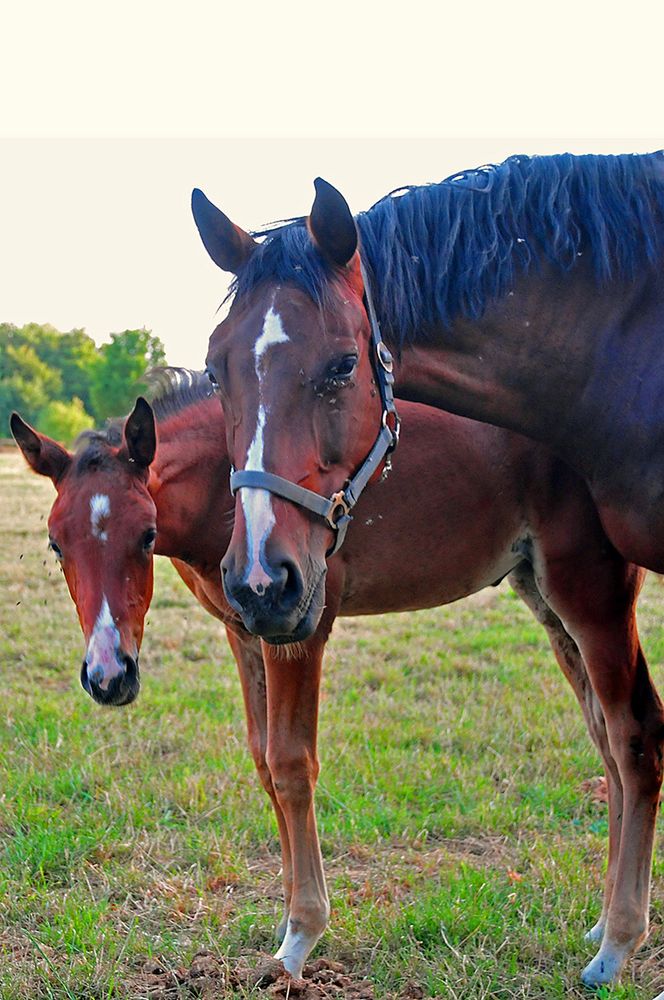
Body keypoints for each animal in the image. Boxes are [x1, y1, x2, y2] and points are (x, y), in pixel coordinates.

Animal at [10, 374, 664, 984]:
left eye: (146, 536)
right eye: (56, 543)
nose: (108, 675)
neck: (230, 485)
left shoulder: (298, 629)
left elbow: (292, 765)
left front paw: (299, 939)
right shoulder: (243, 633)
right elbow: (264, 763)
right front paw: (284, 921)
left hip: (591, 594)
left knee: (635, 736)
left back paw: (616, 947)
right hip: (546, 599)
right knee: (605, 741)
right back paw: (601, 923)